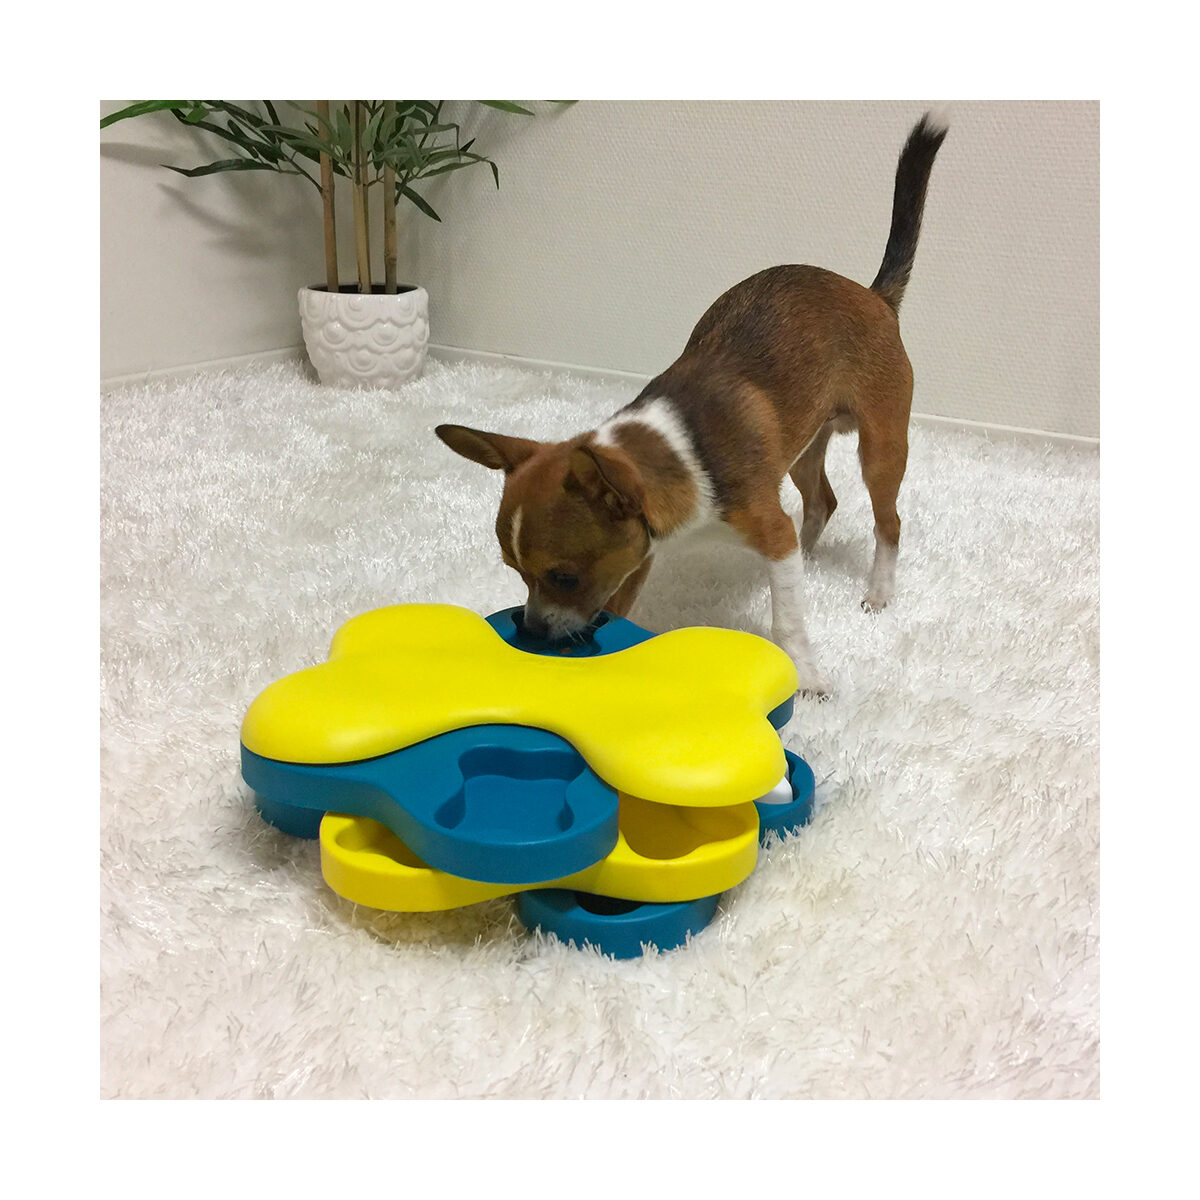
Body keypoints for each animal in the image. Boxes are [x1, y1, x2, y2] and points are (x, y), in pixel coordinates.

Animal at [436, 113, 946, 696]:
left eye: (564, 576)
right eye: (514, 572)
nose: (534, 631)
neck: (682, 451)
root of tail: (874, 294)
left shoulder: (764, 527)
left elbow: (788, 622)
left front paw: (809, 676)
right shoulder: (638, 555)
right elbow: (621, 607)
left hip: (881, 443)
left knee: (889, 522)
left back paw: (879, 591)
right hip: (800, 448)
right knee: (821, 502)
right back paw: (809, 553)